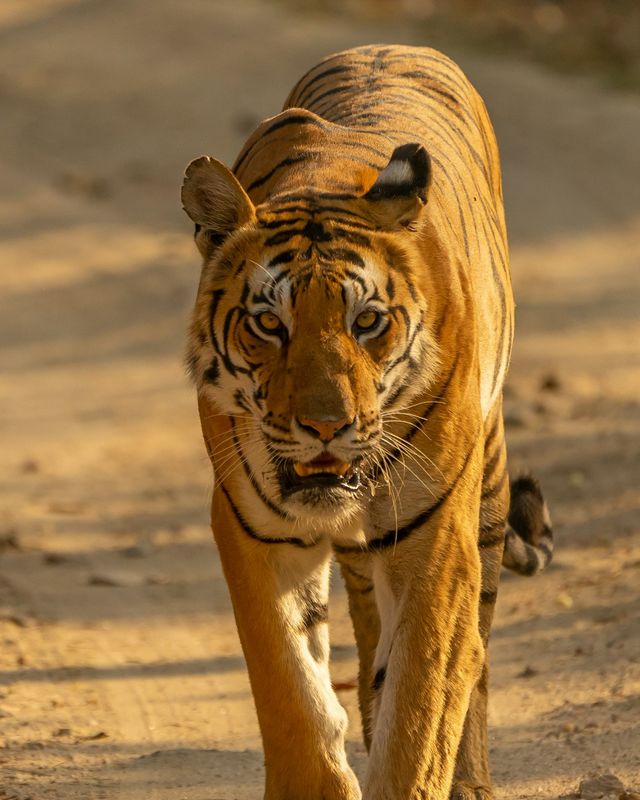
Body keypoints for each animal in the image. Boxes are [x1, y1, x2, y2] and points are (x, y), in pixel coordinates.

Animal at [181, 44, 553, 800]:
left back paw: (472, 778)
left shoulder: (437, 542)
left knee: (475, 652)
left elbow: (422, 706)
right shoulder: (251, 528)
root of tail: (395, 45)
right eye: (269, 323)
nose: (327, 426)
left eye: (367, 322)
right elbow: (291, 693)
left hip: (487, 497)